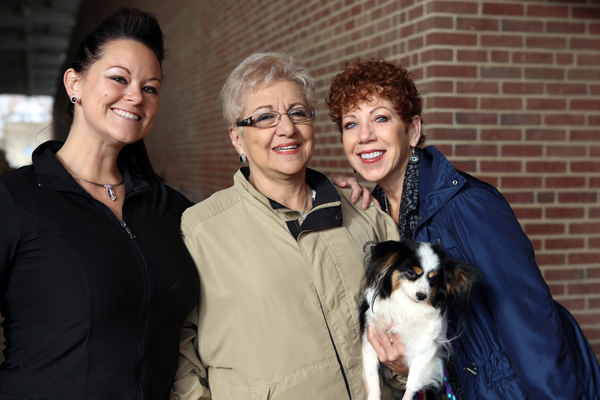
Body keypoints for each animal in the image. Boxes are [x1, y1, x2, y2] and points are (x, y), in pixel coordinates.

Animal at [359, 239, 481, 400]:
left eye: (433, 279)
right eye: (411, 273)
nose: (422, 296)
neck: (408, 306)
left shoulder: (425, 352)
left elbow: (412, 384)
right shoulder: (370, 342)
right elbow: (373, 378)